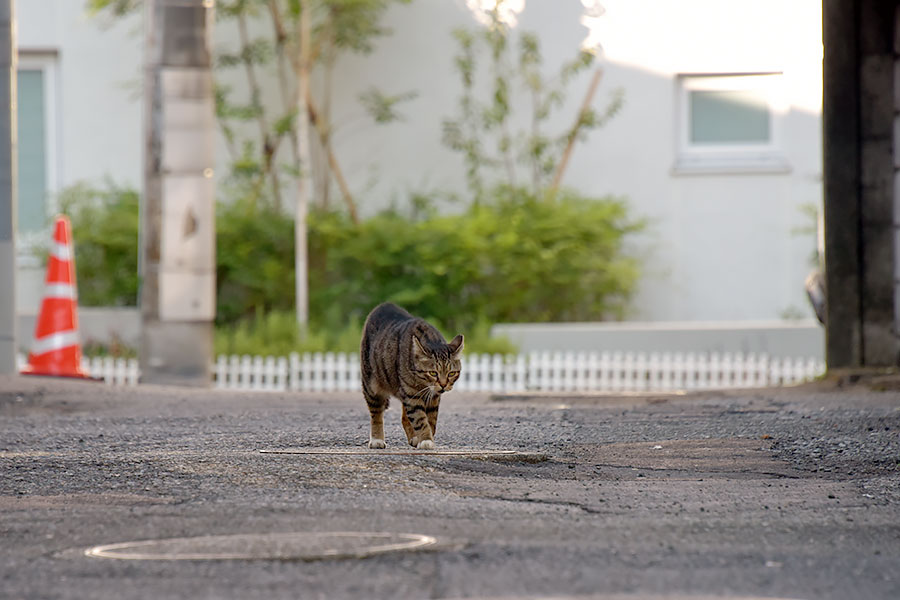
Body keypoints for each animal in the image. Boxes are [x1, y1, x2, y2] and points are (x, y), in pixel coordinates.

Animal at [360, 302, 464, 448]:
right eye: (433, 373)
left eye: (451, 373)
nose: (443, 385)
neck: (423, 384)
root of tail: (384, 305)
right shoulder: (411, 395)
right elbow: (420, 419)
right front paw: (426, 440)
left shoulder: (432, 398)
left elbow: (431, 420)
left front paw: (426, 437)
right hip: (371, 384)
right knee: (376, 413)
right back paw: (377, 439)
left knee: (404, 417)